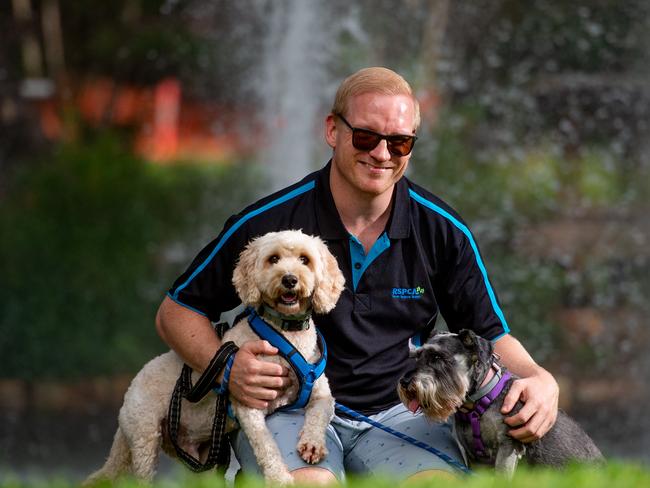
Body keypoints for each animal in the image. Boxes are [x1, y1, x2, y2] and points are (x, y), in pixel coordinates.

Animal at [88, 232, 346, 484]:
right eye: (273, 259)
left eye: (305, 259)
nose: (289, 279)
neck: (284, 333)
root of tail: (127, 397)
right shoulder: (249, 404)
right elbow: (266, 445)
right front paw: (279, 477)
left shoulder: (321, 393)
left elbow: (319, 413)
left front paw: (313, 444)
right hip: (145, 438)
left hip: (197, 455)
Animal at [394, 328, 604, 476]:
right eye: (417, 357)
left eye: (438, 357)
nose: (405, 382)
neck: (477, 404)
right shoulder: (473, 457)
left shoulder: (508, 448)